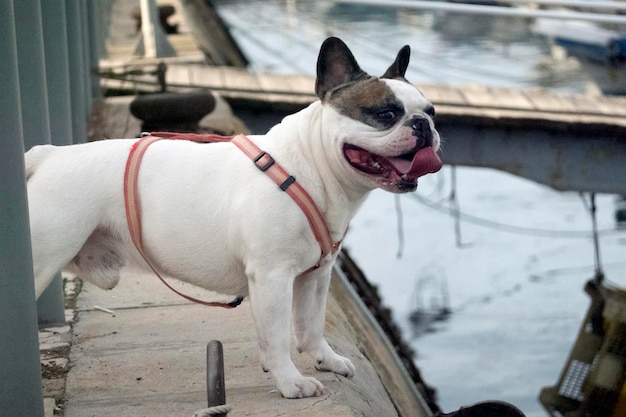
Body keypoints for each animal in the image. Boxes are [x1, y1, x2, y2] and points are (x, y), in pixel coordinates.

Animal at [26, 37, 442, 398]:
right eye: (385, 114)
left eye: (431, 111)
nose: (424, 125)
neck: (311, 165)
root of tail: (50, 154)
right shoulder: (273, 277)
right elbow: (277, 336)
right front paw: (291, 383)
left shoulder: (315, 276)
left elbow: (310, 326)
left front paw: (327, 360)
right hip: (42, 259)